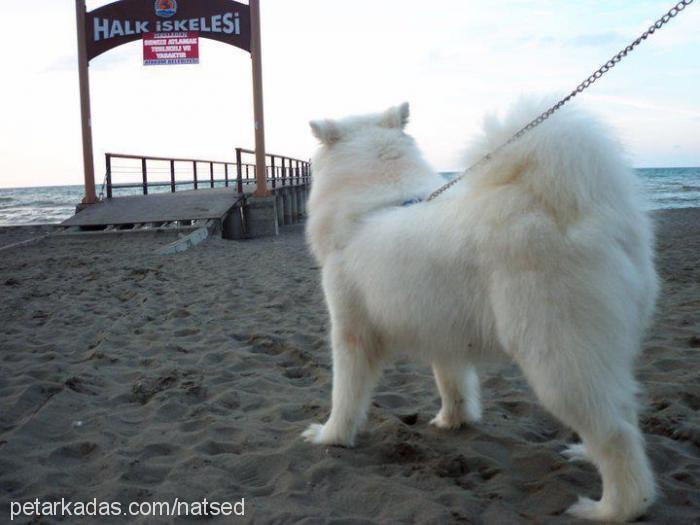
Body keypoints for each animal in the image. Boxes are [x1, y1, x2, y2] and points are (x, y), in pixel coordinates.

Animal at [304, 100, 660, 520]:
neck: (378, 202)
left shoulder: (351, 332)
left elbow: (344, 396)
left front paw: (330, 437)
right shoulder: (443, 335)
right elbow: (453, 384)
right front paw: (451, 421)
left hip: (557, 359)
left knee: (616, 433)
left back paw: (611, 509)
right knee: (624, 411)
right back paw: (585, 454)